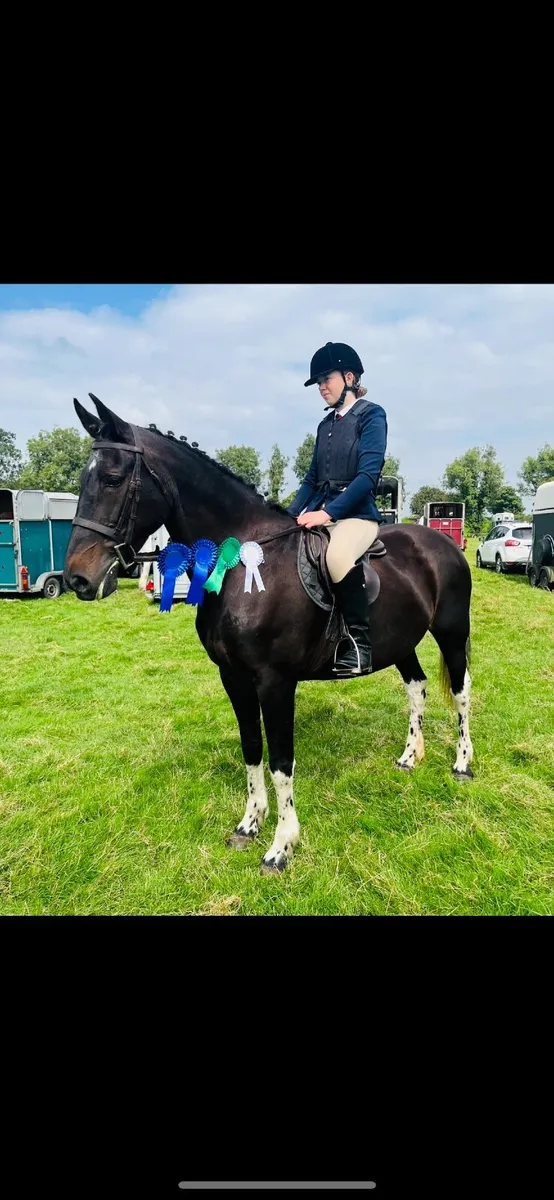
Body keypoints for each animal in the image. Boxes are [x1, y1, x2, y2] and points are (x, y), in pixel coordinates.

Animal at [64, 395, 474, 873]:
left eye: (112, 479)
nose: (77, 579)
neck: (242, 564)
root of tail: (442, 544)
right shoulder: (234, 677)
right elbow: (251, 749)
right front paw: (249, 824)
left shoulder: (275, 682)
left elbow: (280, 760)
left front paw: (281, 846)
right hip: (400, 642)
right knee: (417, 686)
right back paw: (410, 756)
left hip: (451, 631)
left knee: (461, 691)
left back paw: (463, 764)